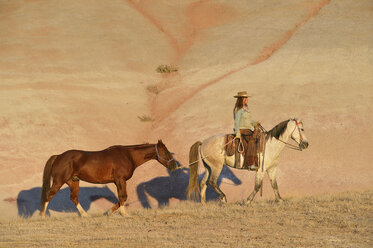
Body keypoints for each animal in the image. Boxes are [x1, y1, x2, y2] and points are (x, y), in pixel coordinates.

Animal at [40, 140, 177, 217]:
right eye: (166, 152)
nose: (174, 166)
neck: (128, 156)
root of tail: (58, 156)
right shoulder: (120, 180)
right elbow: (123, 197)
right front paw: (124, 214)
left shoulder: (118, 182)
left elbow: (120, 198)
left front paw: (108, 212)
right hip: (59, 181)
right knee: (48, 195)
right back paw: (42, 216)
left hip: (73, 182)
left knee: (74, 198)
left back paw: (85, 216)